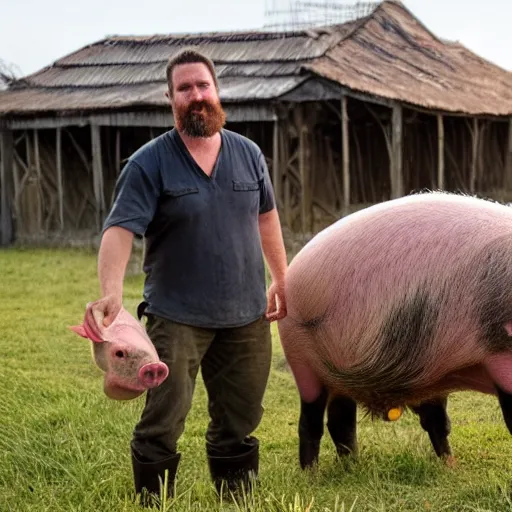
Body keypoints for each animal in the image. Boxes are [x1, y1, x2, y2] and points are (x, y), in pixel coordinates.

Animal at [280, 194, 512, 470]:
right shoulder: (501, 357)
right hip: (301, 357)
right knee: (311, 422)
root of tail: (288, 275)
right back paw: (312, 474)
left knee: (344, 421)